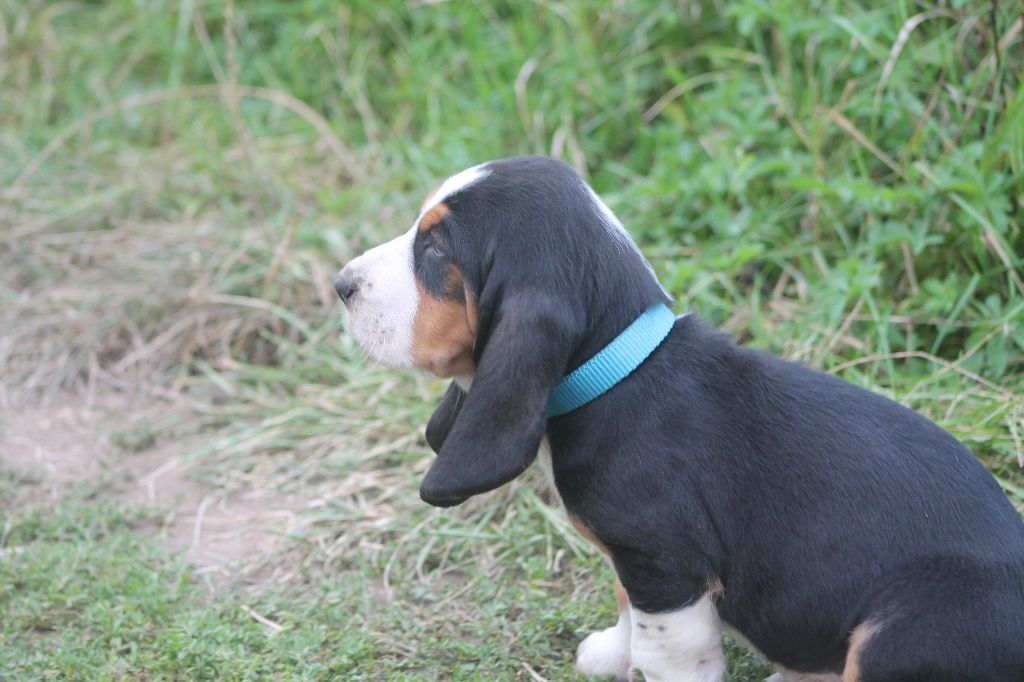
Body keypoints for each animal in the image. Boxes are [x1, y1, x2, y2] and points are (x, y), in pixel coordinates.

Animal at [334, 156, 1024, 681]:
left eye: (435, 248)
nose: (341, 284)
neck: (620, 373)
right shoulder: (634, 565)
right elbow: (623, 607)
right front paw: (611, 656)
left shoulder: (667, 570)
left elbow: (665, 653)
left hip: (902, 626)